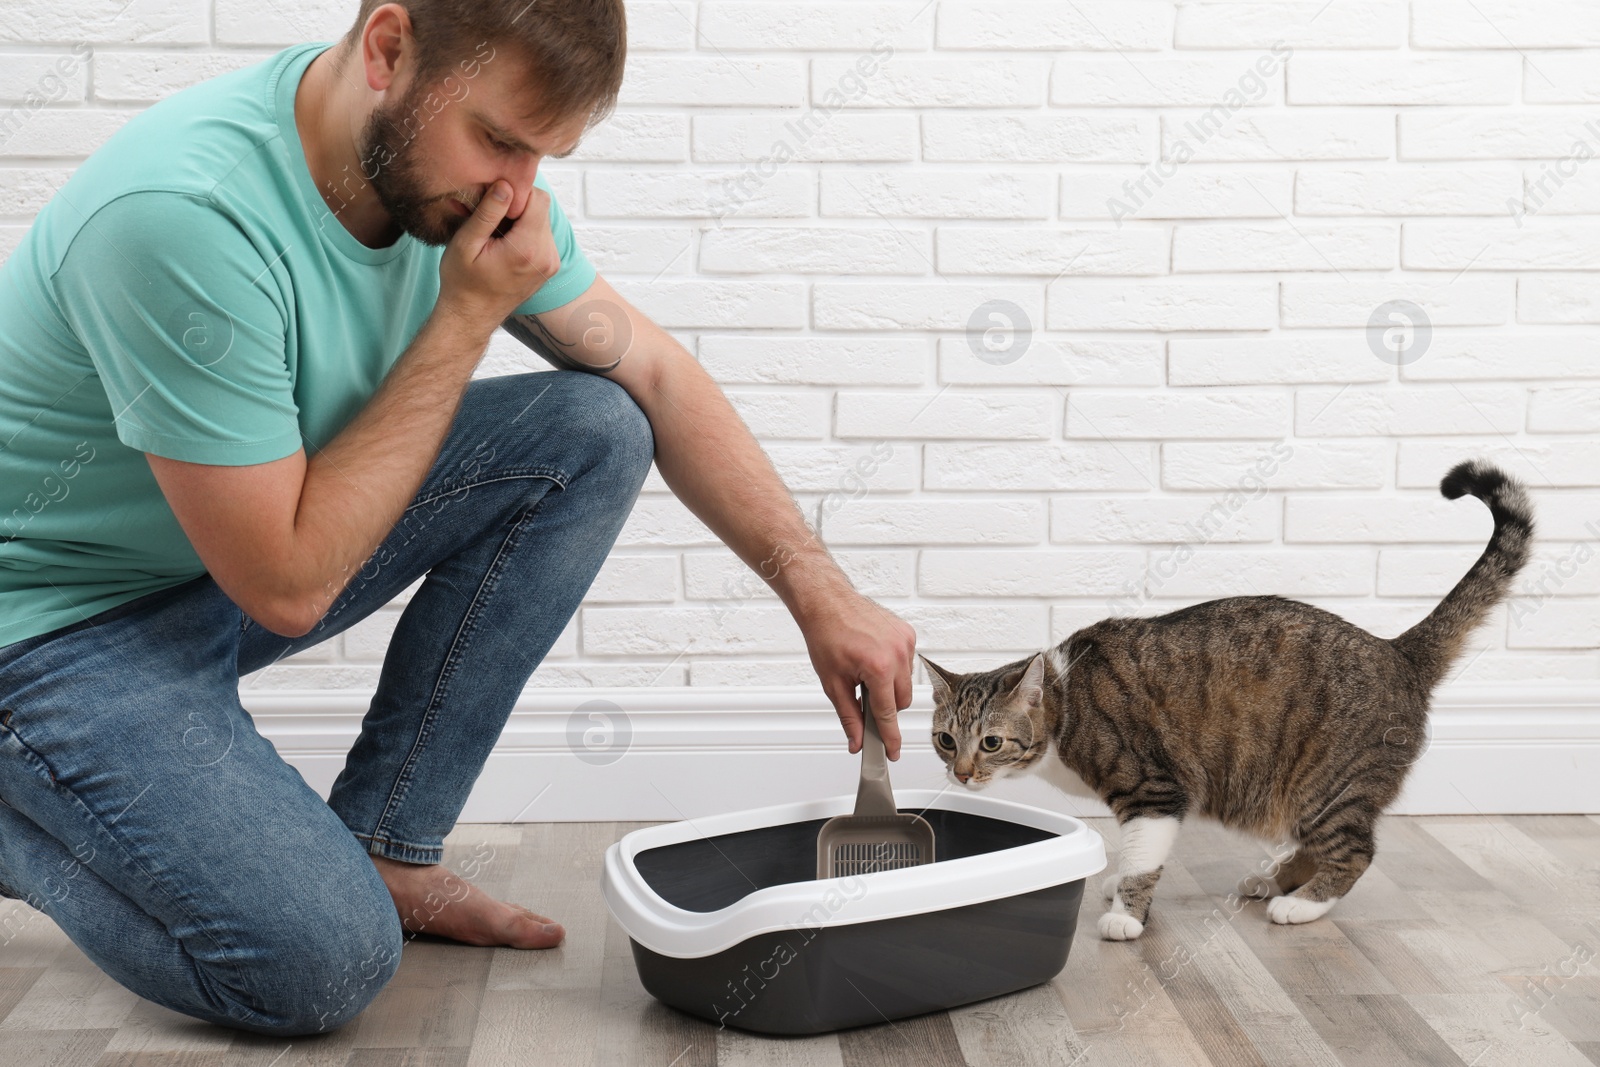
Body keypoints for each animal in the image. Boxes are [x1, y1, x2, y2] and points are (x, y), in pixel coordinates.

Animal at [928, 460, 1536, 940]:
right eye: (945, 740)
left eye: (991, 741)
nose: (961, 774)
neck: (1066, 702)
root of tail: (1397, 650)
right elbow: (1134, 857)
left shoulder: (1154, 791)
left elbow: (1142, 859)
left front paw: (1126, 913)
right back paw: (1273, 879)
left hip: (1326, 784)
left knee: (1355, 850)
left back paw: (1301, 904)